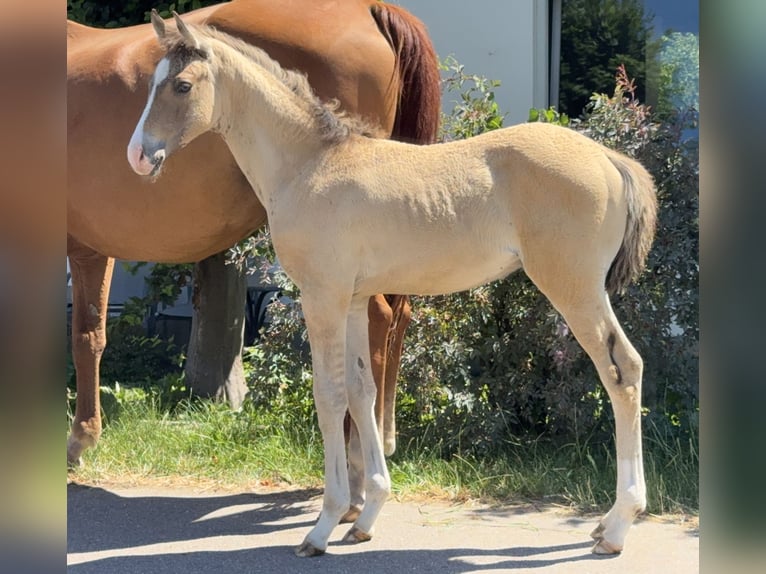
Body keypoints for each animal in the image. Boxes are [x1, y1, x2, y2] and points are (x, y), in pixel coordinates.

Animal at [67, 0, 440, 519]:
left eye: (183, 86)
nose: (137, 154)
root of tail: (370, 9)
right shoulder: (89, 245)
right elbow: (90, 335)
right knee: (395, 317)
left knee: (377, 323)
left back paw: (356, 469)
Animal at [130, 13, 657, 556]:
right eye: (151, 83)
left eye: (182, 85)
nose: (139, 156)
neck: (311, 164)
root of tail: (610, 159)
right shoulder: (354, 300)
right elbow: (362, 390)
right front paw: (367, 514)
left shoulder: (322, 297)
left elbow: (330, 396)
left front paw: (324, 524)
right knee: (627, 369)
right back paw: (606, 522)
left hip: (575, 289)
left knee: (622, 371)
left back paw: (619, 524)